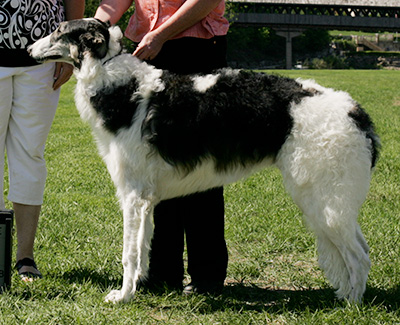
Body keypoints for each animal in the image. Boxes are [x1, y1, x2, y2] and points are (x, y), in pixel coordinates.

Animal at [28, 17, 378, 302]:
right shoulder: (146, 199)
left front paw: (122, 296)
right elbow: (143, 249)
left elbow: (129, 253)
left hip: (324, 201)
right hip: (328, 203)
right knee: (361, 250)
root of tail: (356, 112)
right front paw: (139, 288)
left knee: (359, 257)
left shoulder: (133, 195)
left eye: (59, 31)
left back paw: (351, 305)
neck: (120, 85)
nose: (29, 49)